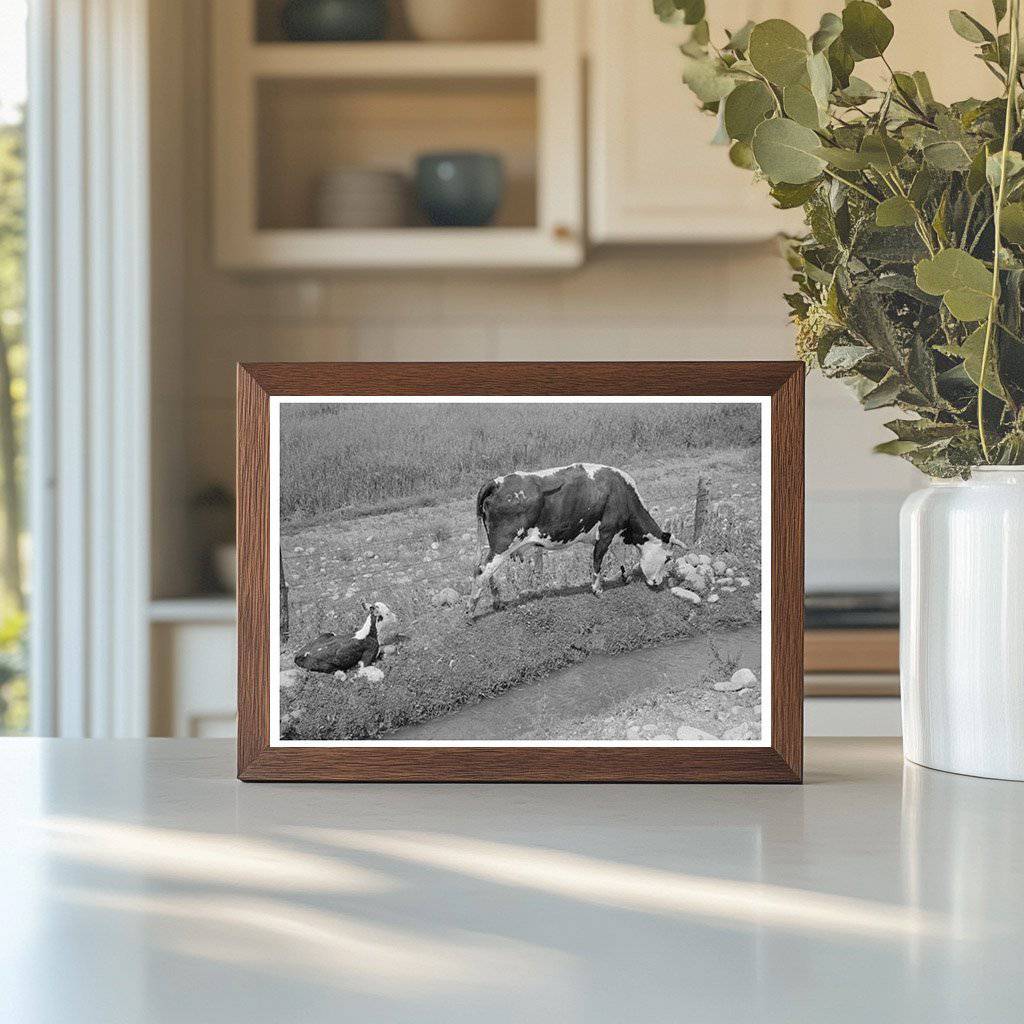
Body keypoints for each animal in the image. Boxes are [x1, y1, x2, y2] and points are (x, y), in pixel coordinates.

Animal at [468, 463, 685, 615]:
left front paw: (626, 577)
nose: (657, 582)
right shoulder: (605, 531)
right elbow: (598, 560)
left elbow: (619, 555)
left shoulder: (614, 533)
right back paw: (471, 611)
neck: (621, 491)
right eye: (668, 558)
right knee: (482, 571)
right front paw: (597, 589)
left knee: (487, 570)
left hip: (495, 544)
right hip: (504, 543)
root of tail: (496, 482)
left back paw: (497, 602)